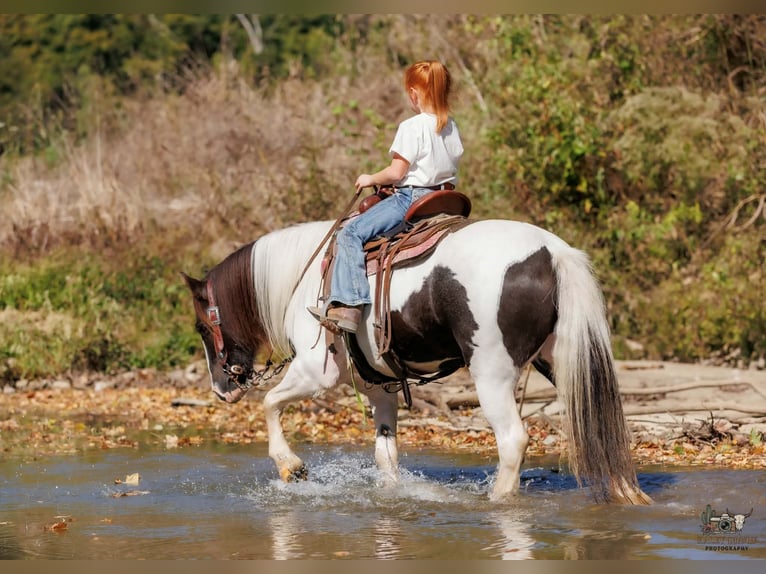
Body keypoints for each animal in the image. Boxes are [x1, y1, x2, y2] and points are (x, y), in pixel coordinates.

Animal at [182, 217, 652, 504]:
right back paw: (625, 492)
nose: (221, 390)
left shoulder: (316, 373)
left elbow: (269, 404)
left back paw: (498, 501)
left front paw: (291, 467)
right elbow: (386, 456)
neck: (306, 276)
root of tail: (551, 253)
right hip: (561, 363)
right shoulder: (380, 389)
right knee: (601, 425)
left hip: (492, 374)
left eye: (202, 327)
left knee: (513, 440)